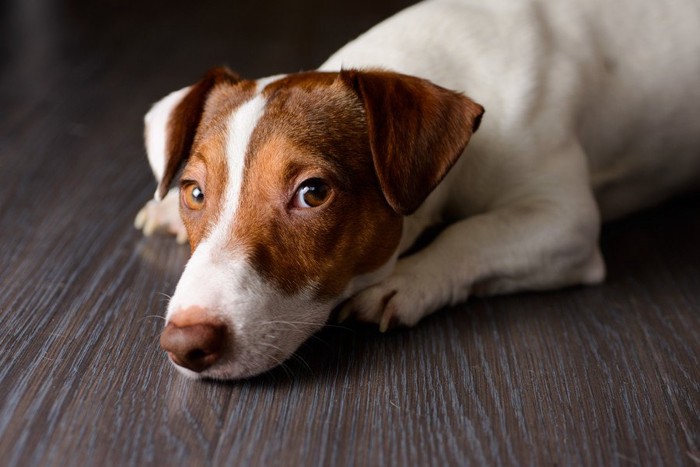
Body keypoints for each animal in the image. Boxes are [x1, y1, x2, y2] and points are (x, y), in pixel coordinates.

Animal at [135, 0, 700, 380]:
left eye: (312, 193)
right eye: (193, 192)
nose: (184, 343)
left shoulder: (564, 220)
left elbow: (471, 234)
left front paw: (405, 281)